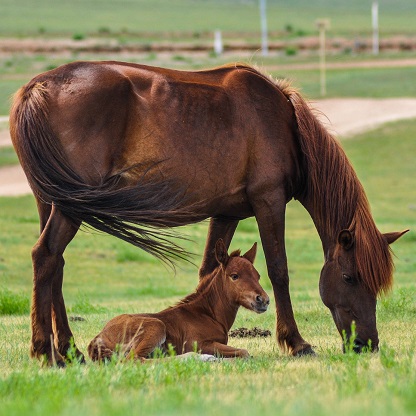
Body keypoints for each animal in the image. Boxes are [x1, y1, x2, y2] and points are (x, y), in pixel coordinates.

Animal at [88, 239, 270, 362]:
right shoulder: (200, 343)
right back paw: (199, 358)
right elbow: (244, 352)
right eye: (234, 276)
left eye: (258, 276)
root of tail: (98, 338)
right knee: (135, 360)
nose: (263, 300)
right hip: (156, 326)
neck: (208, 314)